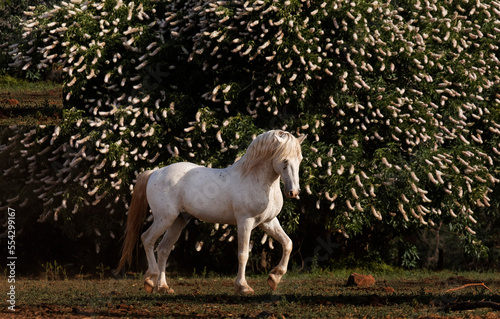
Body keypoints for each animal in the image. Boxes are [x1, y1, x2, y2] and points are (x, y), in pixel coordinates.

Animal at [116, 131, 304, 296]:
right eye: (284, 160)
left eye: (300, 159)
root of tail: (155, 172)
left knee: (163, 249)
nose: (294, 192)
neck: (254, 179)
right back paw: (150, 280)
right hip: (164, 219)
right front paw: (243, 287)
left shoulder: (268, 222)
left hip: (178, 221)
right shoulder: (245, 222)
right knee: (147, 239)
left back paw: (163, 287)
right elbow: (243, 254)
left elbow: (288, 243)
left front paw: (274, 278)